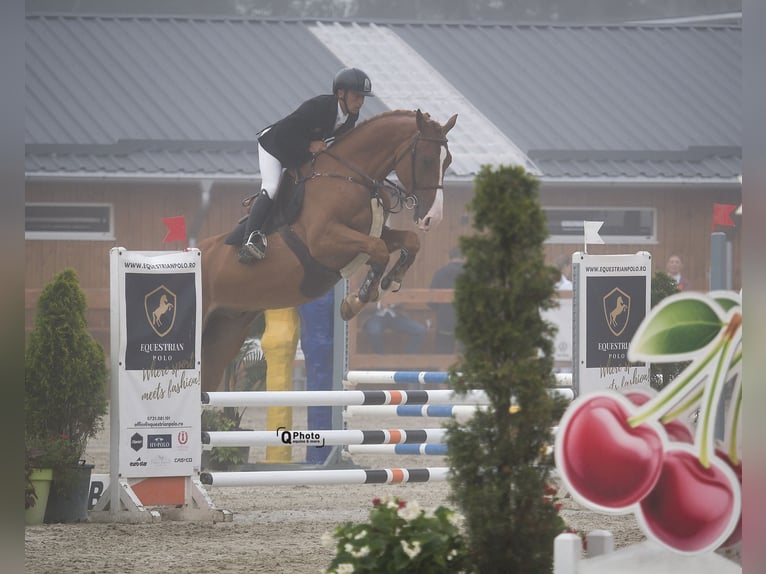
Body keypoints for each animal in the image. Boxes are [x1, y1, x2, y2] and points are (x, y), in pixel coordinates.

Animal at [201, 109, 460, 394]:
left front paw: (391, 281)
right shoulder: (324, 241)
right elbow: (379, 250)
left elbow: (410, 241)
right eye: (425, 160)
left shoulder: (371, 234)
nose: (432, 218)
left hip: (224, 335)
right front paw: (355, 301)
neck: (351, 176)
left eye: (447, 161)